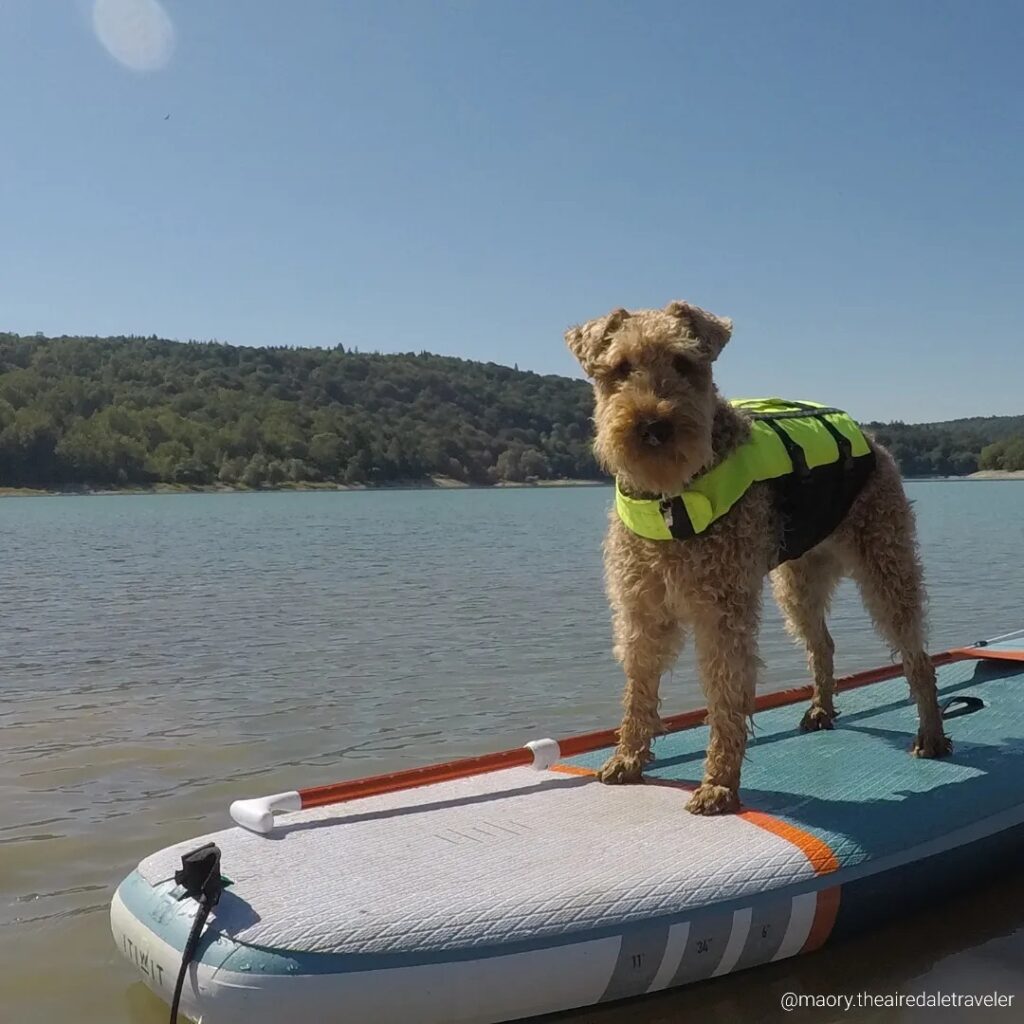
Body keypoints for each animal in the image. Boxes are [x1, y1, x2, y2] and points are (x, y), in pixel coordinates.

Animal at [565, 299, 946, 811]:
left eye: (684, 363)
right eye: (620, 368)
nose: (654, 427)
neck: (669, 498)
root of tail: (873, 439)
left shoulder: (722, 610)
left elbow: (725, 698)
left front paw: (719, 785)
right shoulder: (640, 607)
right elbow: (638, 690)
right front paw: (627, 759)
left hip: (887, 567)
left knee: (918, 656)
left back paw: (931, 736)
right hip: (798, 583)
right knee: (823, 645)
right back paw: (820, 709)